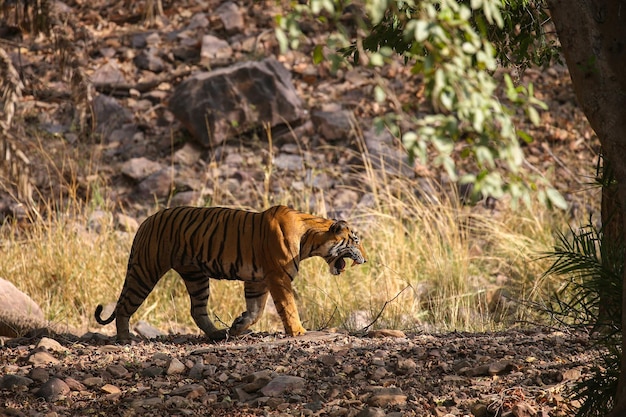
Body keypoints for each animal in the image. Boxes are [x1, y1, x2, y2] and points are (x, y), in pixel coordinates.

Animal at [94, 203, 366, 340]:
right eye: (355, 240)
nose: (365, 260)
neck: (310, 237)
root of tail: (146, 220)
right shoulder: (278, 277)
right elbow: (288, 307)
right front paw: (298, 331)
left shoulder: (258, 280)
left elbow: (255, 311)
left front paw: (237, 326)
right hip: (145, 270)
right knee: (124, 306)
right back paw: (124, 338)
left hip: (196, 277)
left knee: (197, 310)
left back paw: (217, 333)